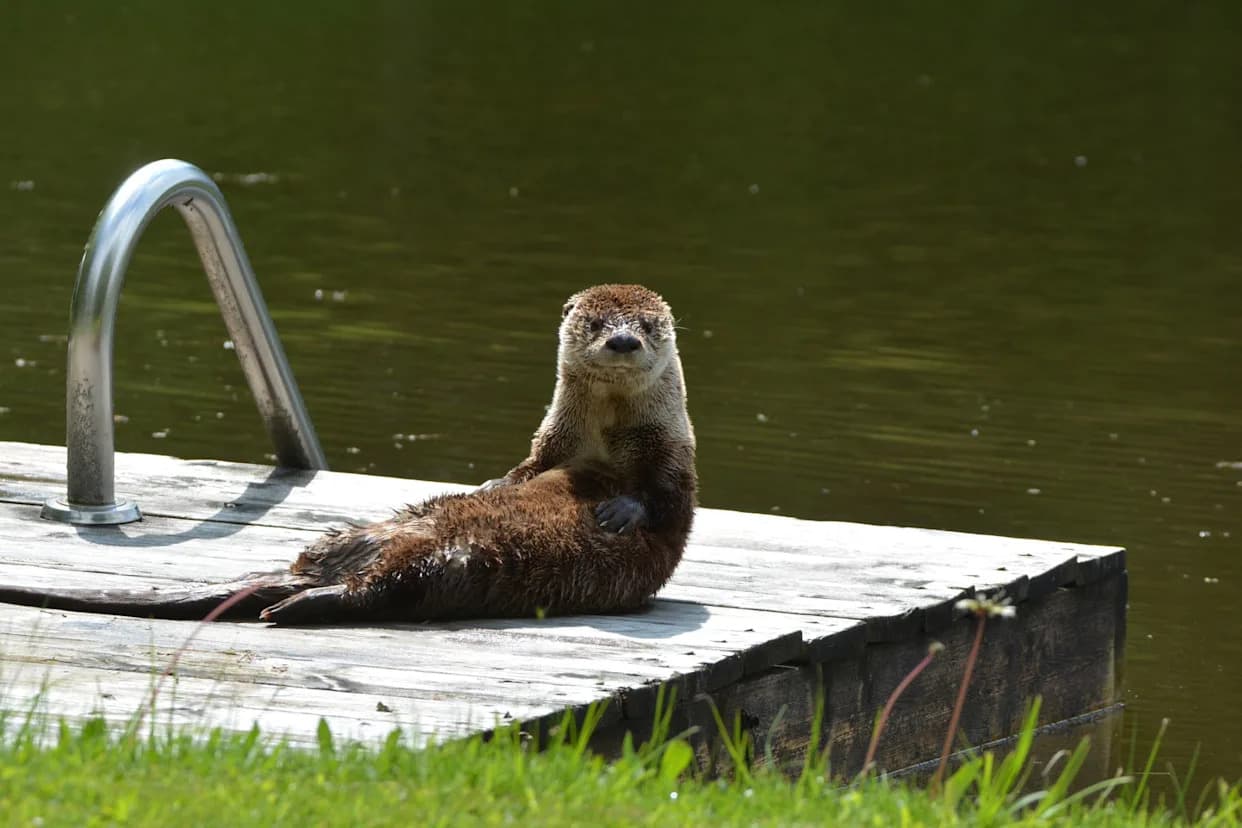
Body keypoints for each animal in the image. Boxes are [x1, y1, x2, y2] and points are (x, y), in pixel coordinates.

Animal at [0, 284, 697, 625]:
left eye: (649, 325)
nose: (625, 341)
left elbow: (667, 500)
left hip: (452, 564)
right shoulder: (552, 441)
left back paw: (294, 607)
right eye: (597, 323)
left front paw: (620, 512)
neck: (603, 437)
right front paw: (492, 485)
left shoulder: (673, 455)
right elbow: (526, 469)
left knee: (376, 593)